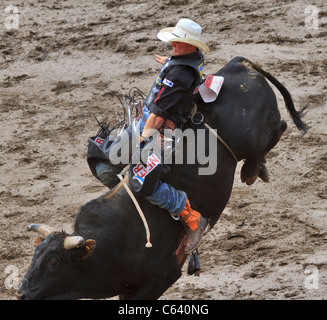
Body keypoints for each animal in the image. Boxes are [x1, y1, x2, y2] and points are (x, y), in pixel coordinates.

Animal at [19, 57, 308, 300]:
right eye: (35, 255)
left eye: (54, 261)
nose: (23, 291)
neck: (110, 244)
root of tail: (238, 64)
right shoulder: (129, 286)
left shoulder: (163, 275)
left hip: (251, 136)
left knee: (279, 128)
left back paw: (251, 170)